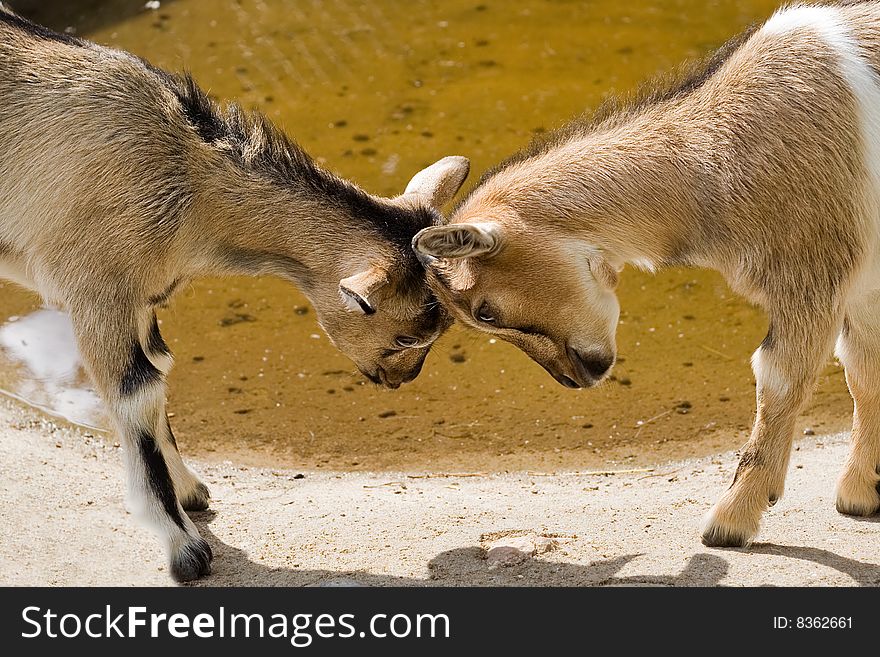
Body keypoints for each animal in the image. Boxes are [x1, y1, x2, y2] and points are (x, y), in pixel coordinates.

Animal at [0, 5, 470, 580]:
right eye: (407, 336)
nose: (401, 380)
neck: (186, 177)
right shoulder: (96, 291)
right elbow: (137, 391)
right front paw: (183, 548)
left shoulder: (140, 298)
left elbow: (160, 371)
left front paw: (190, 492)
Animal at [416, 1, 880, 548]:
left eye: (485, 311)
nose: (576, 376)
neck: (721, 153)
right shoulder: (863, 281)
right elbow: (864, 369)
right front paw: (862, 491)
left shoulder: (812, 273)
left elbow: (779, 378)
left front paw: (731, 519)